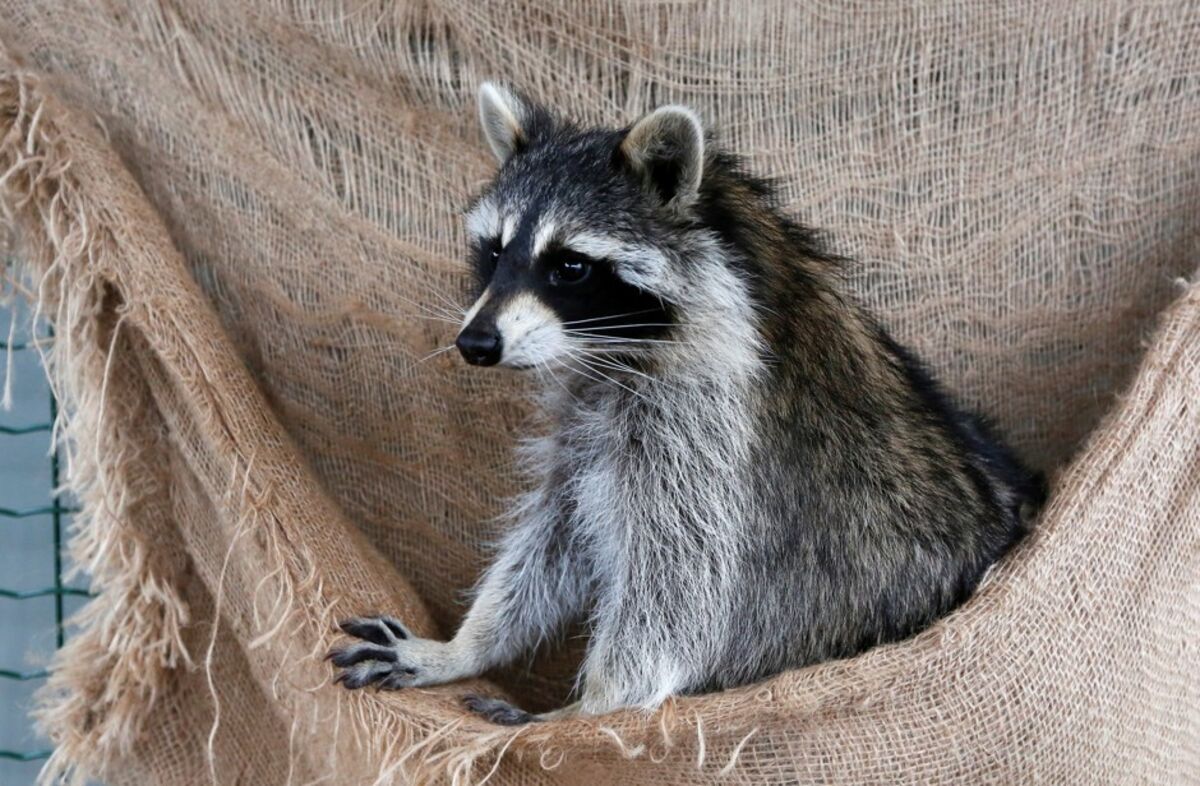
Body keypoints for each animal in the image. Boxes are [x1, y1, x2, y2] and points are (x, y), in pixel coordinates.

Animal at [329, 83, 1045, 725]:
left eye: (569, 267)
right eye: (497, 250)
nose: (475, 343)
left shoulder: (706, 423)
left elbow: (679, 584)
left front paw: (593, 708)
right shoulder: (593, 419)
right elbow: (558, 535)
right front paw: (467, 645)